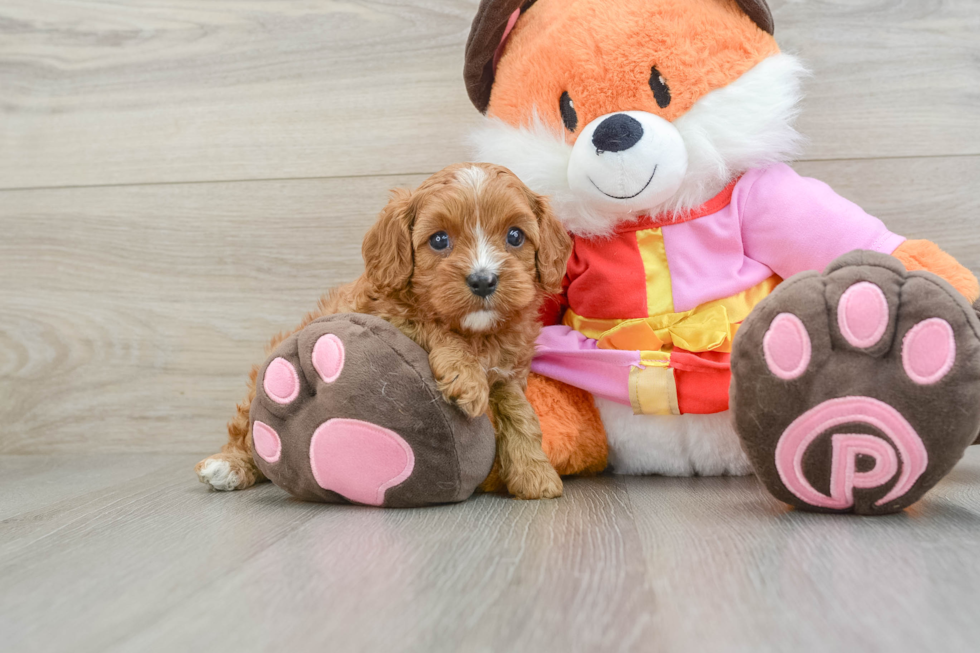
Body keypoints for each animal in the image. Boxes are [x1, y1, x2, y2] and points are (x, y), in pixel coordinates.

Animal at [195, 163, 572, 500]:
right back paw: (227, 466)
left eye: (515, 236)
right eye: (439, 240)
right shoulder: (388, 317)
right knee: (247, 428)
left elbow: (519, 410)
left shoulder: (510, 371)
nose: (483, 280)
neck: (478, 333)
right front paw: (466, 375)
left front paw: (534, 473)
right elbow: (429, 324)